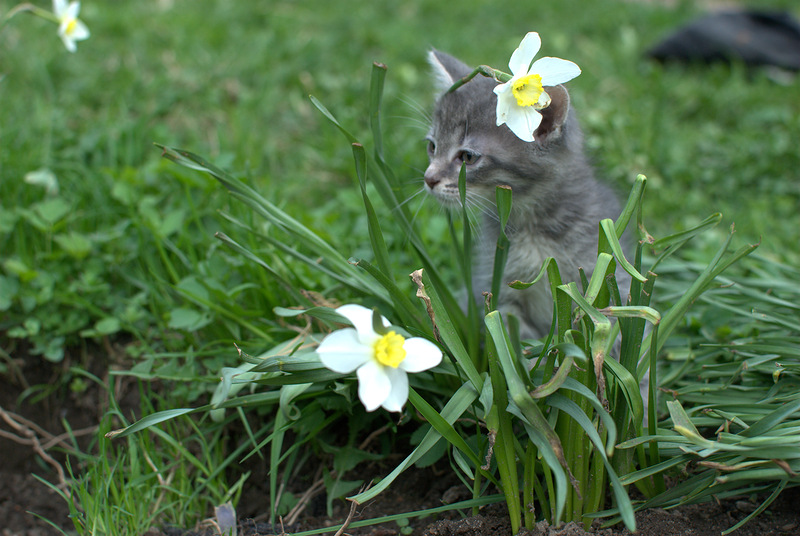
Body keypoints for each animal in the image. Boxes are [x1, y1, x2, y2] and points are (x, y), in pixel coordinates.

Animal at [422, 49, 628, 340]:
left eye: (467, 157)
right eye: (432, 146)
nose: (429, 178)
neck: (532, 222)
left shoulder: (605, 276)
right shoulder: (497, 285)